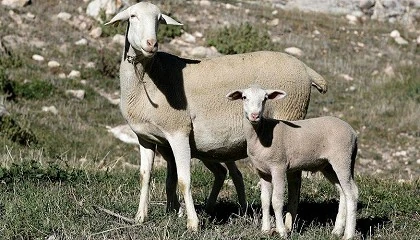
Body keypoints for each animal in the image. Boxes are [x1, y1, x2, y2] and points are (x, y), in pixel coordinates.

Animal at [105, 1, 328, 231]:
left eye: (159, 19)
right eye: (133, 16)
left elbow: (183, 180)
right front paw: (140, 217)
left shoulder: (178, 131)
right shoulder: (146, 138)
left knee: (295, 179)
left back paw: (288, 222)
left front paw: (192, 223)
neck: (148, 75)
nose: (152, 43)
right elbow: (145, 176)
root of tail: (306, 69)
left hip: (292, 119)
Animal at [226, 85, 358, 239]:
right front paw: (265, 229)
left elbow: (276, 201)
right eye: (244, 97)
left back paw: (348, 234)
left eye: (265, 98)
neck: (262, 133)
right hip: (328, 165)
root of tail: (353, 133)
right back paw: (337, 231)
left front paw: (282, 231)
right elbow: (265, 200)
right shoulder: (262, 171)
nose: (255, 115)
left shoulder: (278, 166)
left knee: (352, 193)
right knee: (343, 192)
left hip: (342, 159)